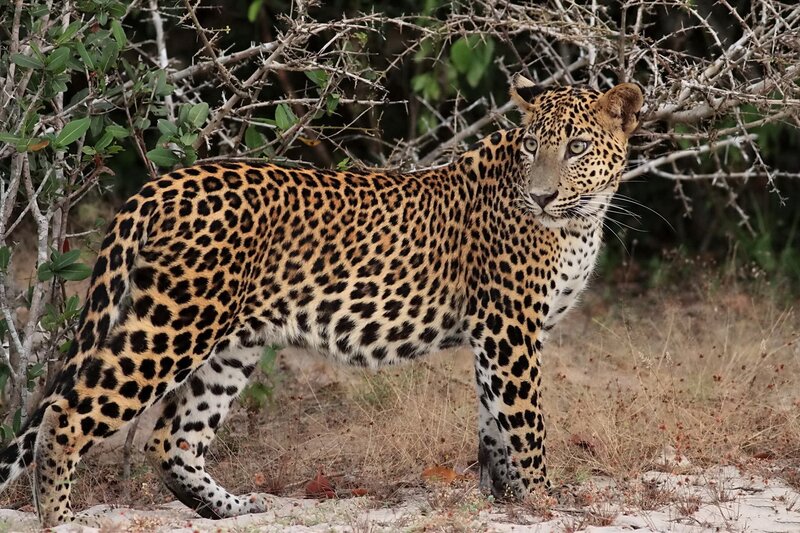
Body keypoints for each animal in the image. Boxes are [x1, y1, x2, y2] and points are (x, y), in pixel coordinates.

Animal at [0, 74, 643, 526]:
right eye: (533, 145)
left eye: (577, 146)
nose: (542, 196)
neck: (581, 219)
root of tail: (165, 183)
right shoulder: (509, 326)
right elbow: (525, 422)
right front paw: (543, 500)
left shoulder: (503, 334)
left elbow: (494, 423)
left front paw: (503, 500)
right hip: (177, 324)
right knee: (68, 413)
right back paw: (60, 518)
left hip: (231, 342)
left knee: (172, 439)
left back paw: (233, 509)